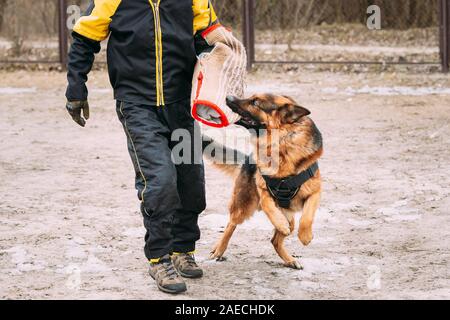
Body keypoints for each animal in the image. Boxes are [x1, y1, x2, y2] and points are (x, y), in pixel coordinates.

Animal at [206, 94, 322, 268]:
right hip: (244, 205)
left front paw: (305, 236)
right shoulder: (263, 189)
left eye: (255, 102)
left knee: (275, 240)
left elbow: (307, 217)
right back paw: (219, 249)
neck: (280, 143)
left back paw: (290, 260)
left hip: (289, 219)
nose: (228, 97)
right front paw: (281, 223)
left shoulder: (315, 192)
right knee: (231, 224)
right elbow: (268, 206)